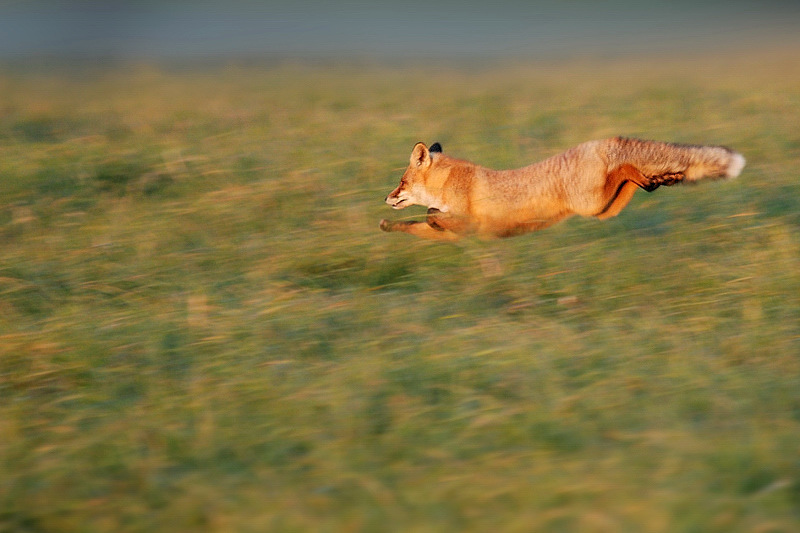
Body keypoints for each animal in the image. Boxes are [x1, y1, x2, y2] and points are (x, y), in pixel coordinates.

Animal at [382, 136, 744, 240]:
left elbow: (428, 215)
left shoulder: (470, 224)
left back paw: (654, 178)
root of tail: (597, 143)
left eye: (401, 182)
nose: (386, 197)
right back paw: (662, 180)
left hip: (592, 203)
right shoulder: (455, 235)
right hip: (603, 209)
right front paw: (387, 225)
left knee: (626, 170)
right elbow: (414, 224)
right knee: (632, 182)